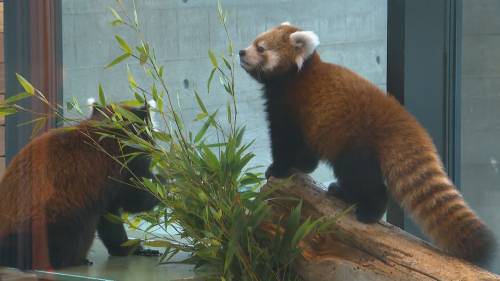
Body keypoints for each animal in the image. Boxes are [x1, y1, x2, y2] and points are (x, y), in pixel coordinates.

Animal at [0, 101, 159, 268]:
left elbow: (110, 219)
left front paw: (127, 248)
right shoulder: (126, 162)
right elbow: (138, 199)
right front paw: (164, 181)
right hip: (51, 225)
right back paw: (74, 260)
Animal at [239, 22, 496, 264]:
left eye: (260, 48)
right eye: (253, 41)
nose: (241, 52)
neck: (297, 75)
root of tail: (399, 118)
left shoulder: (290, 106)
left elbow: (284, 141)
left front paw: (277, 169)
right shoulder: (313, 123)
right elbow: (306, 150)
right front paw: (302, 166)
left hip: (356, 145)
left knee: (364, 180)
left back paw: (366, 209)